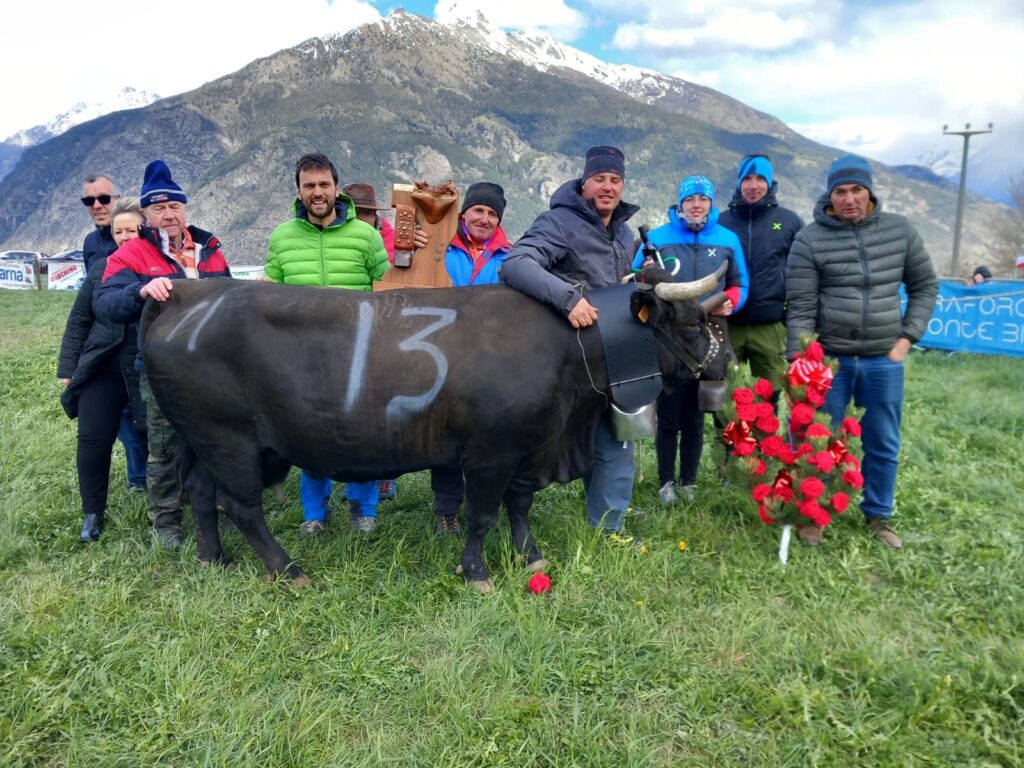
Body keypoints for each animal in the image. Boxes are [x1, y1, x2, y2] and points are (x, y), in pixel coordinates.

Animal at [140, 270, 729, 593]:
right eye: (691, 324)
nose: (723, 366)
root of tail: (187, 293)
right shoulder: (491, 452)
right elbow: (483, 514)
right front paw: (477, 572)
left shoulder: (529, 446)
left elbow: (519, 506)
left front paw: (530, 555)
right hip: (231, 439)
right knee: (240, 506)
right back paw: (288, 570)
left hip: (203, 440)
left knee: (202, 493)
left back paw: (213, 559)